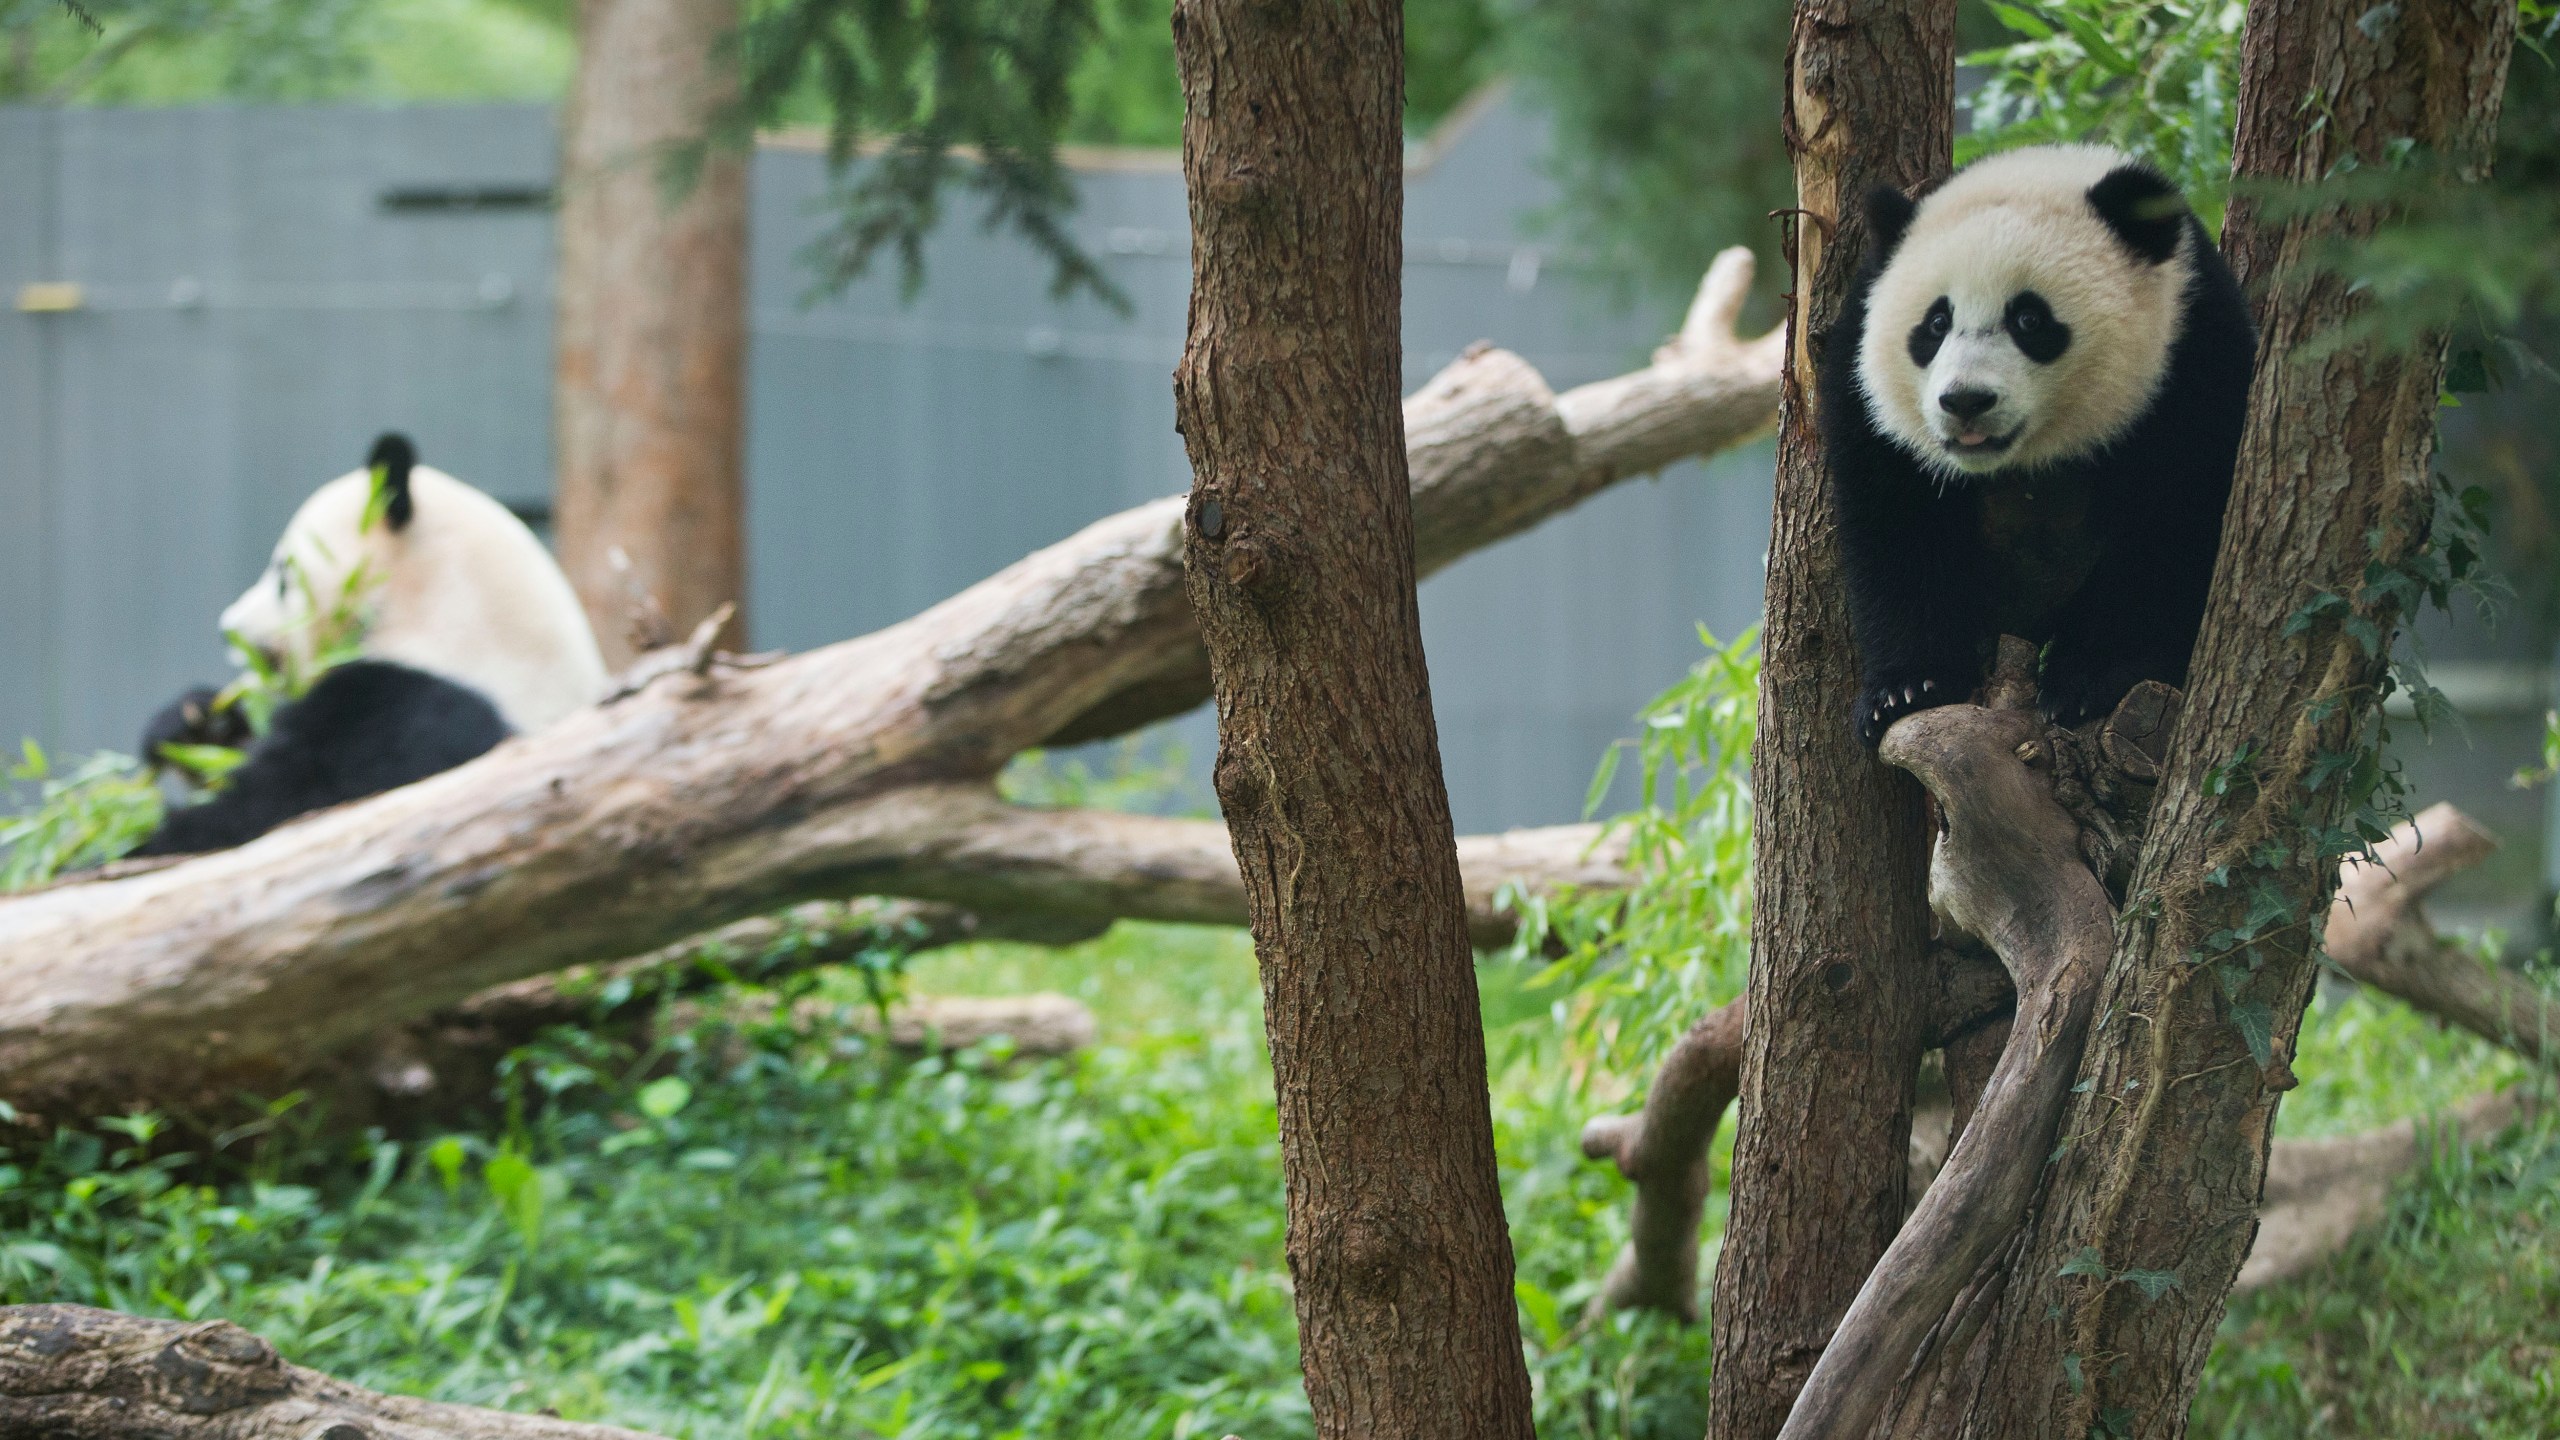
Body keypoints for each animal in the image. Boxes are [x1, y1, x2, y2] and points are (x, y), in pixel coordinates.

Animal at [1832, 146, 2252, 743]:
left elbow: (2173, 527)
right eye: (1936, 323)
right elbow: (1897, 528)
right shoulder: (1865, 397)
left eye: (2029, 319)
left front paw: (2090, 681)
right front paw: (1907, 689)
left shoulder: (2192, 357)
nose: (1965, 401)